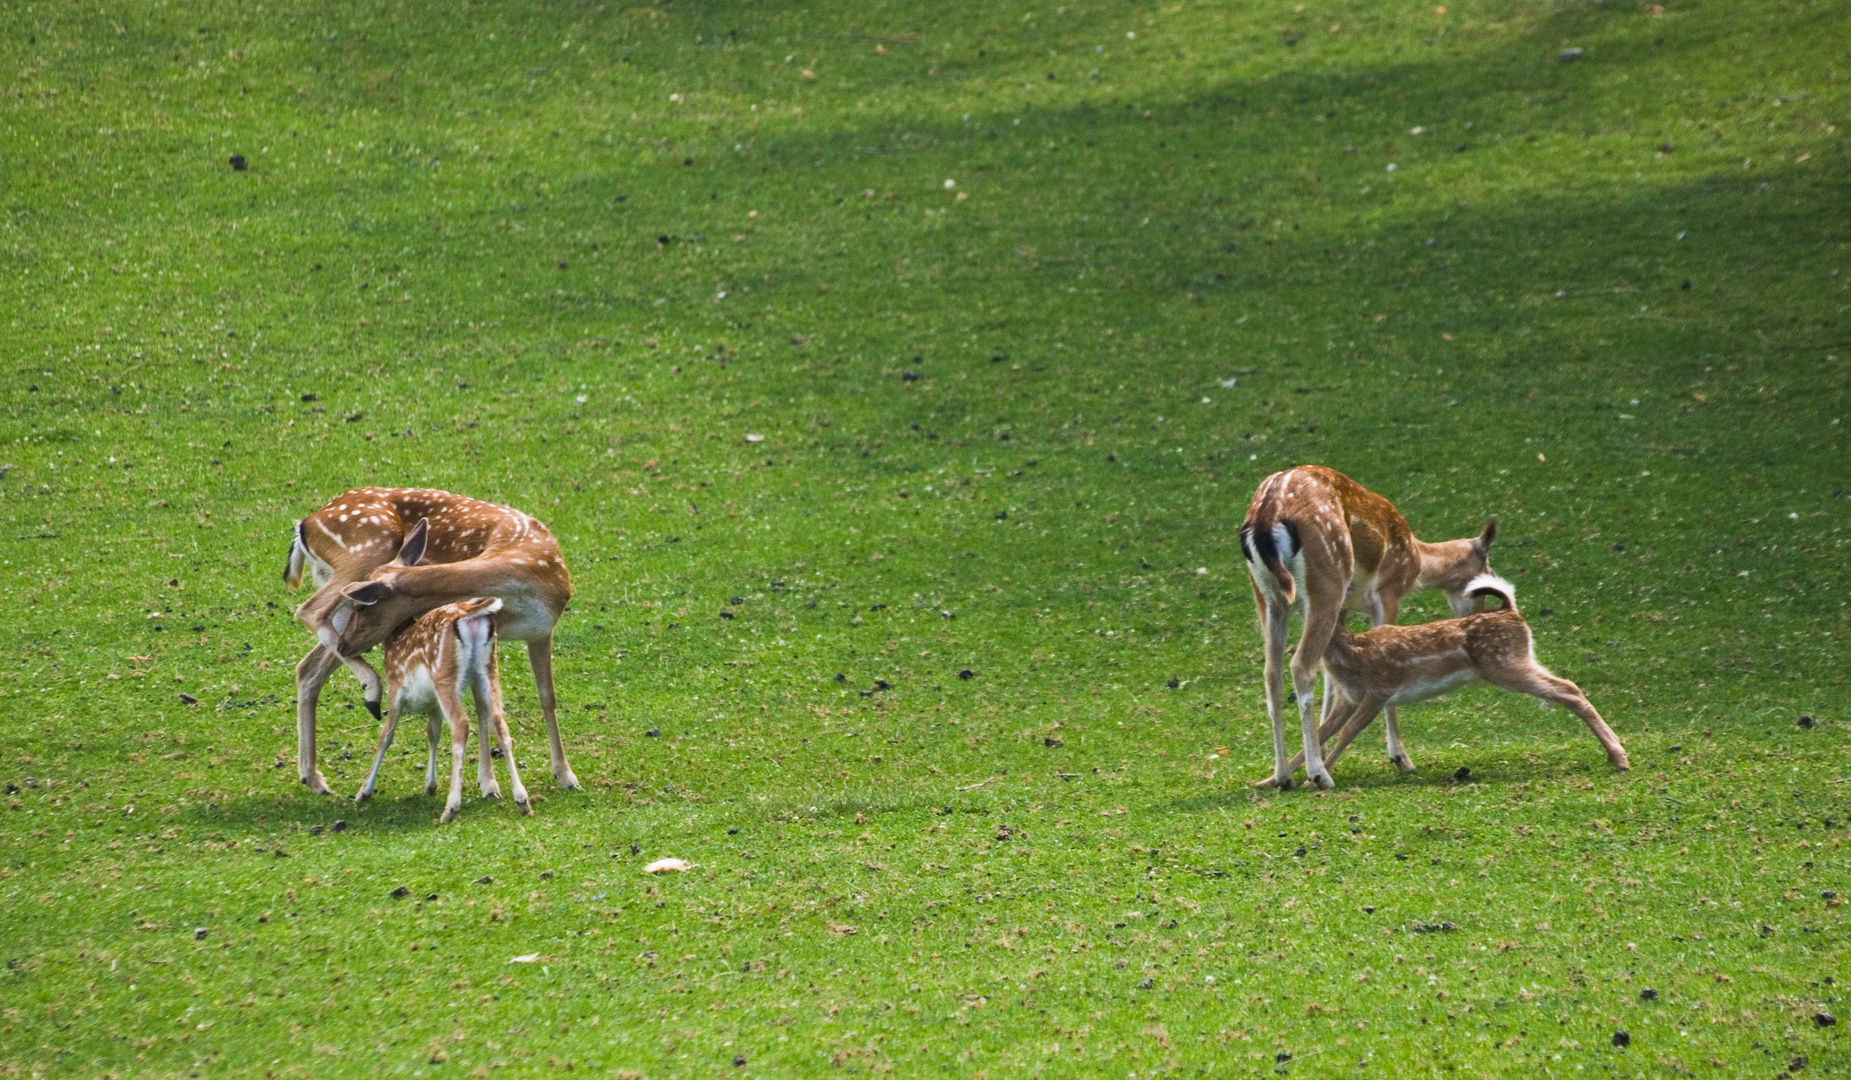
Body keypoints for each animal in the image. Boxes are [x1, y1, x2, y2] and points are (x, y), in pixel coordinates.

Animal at [283, 489, 577, 792]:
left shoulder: (540, 632)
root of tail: (306, 523)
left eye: (362, 607)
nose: (345, 644)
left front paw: (565, 775)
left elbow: (547, 697)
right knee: (310, 611)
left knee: (308, 667)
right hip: (367, 551)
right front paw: (489, 783)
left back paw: (313, 777)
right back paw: (371, 691)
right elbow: (484, 707)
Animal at [355, 600, 533, 818]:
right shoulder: (434, 704)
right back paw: (522, 801)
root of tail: (470, 614)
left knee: (461, 723)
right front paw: (431, 785)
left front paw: (364, 791)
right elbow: (433, 732)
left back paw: (451, 807)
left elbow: (386, 736)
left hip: (444, 675)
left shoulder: (395, 690)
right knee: (499, 722)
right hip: (488, 668)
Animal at [1236, 468, 1495, 789]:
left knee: (1272, 673)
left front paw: (1323, 746)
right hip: (1327, 581)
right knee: (1301, 666)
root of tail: (1266, 516)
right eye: (1487, 577)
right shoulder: (1388, 591)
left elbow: (1331, 677)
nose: (1479, 616)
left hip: (1268, 596)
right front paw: (1401, 758)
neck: (1418, 561)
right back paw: (1319, 774)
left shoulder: (1344, 607)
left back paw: (1282, 776)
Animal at [1251, 574, 1628, 785]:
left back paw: (1619, 758)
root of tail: (1511, 611)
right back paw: (1617, 754)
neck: (1351, 654)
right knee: (1568, 687)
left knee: (1569, 689)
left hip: (1505, 664)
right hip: (1518, 661)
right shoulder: (1350, 697)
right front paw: (1270, 780)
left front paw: (1315, 779)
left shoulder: (1380, 688)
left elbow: (1348, 733)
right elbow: (1319, 733)